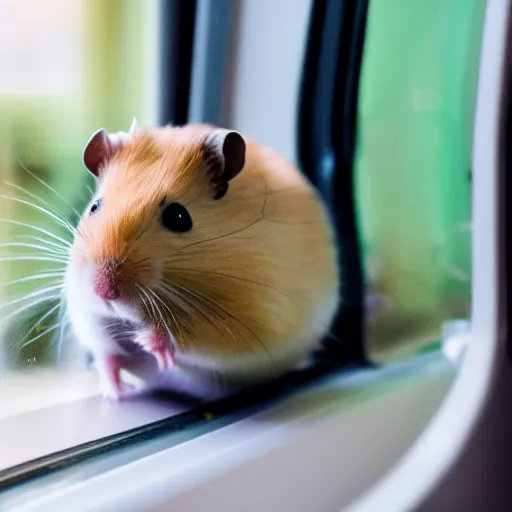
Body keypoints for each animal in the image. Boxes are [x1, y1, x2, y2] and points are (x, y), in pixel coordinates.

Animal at [67, 120, 340, 400]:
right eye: (94, 207)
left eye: (179, 217)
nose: (103, 292)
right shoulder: (83, 309)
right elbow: (105, 350)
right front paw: (114, 390)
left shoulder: (258, 316)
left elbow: (198, 336)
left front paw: (147, 340)